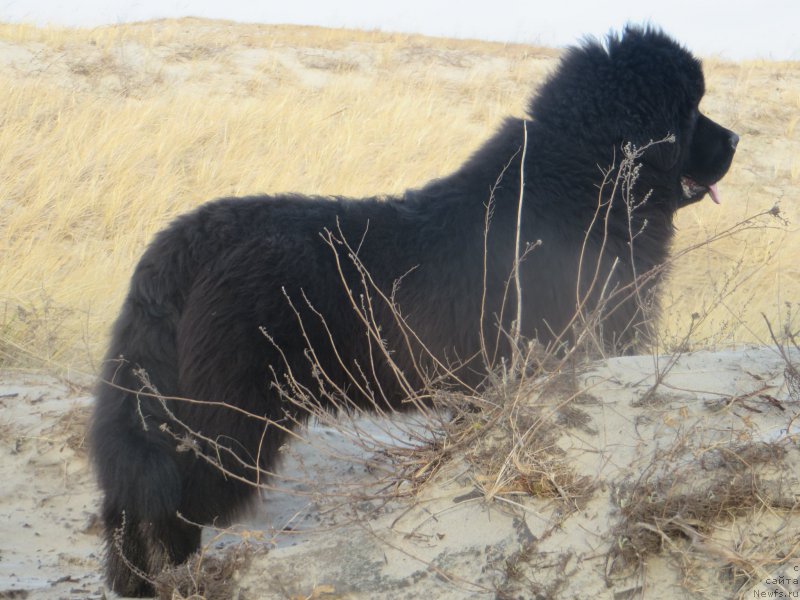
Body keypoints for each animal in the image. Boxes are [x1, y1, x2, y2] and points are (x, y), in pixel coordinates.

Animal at [89, 24, 736, 596]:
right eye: (690, 112)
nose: (733, 140)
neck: (582, 179)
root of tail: (190, 239)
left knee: (127, 500)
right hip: (227, 420)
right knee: (167, 502)